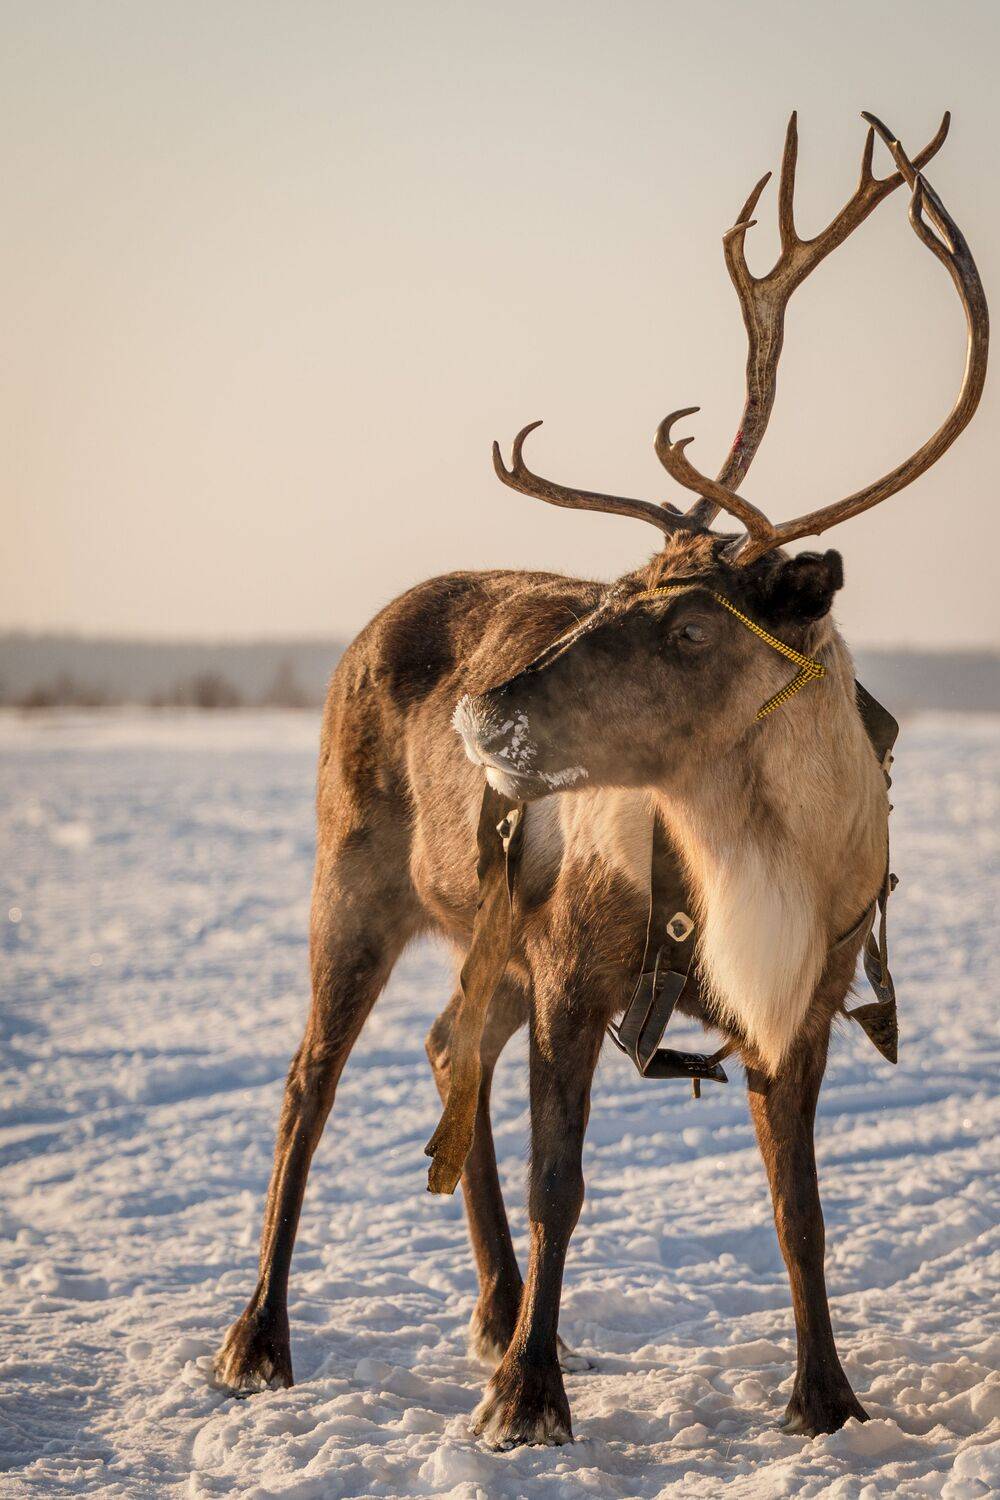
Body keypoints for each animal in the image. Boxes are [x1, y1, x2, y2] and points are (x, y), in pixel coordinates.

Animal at [214, 112, 987, 1448]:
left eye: (687, 626)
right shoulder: (575, 966)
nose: (481, 711)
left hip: (488, 942)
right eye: (615, 593)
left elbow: (799, 1210)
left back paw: (496, 1312)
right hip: (354, 886)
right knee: (307, 1086)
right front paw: (528, 1400)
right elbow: (559, 1183)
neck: (761, 853)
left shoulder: (804, 996)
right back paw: (263, 1339)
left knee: (446, 1048)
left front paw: (825, 1397)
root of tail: (374, 623)